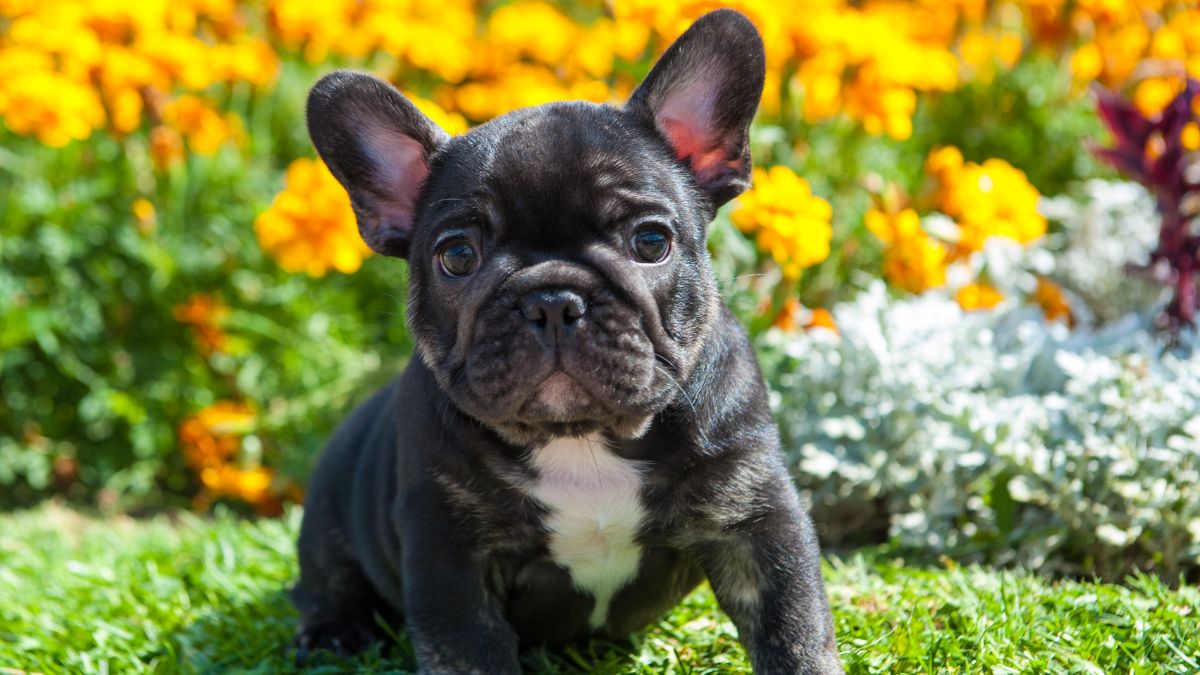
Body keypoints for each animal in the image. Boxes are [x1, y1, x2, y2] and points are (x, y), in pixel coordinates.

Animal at [292, 7, 844, 667]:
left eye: (651, 242)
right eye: (457, 256)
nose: (552, 300)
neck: (579, 438)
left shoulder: (756, 520)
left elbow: (795, 628)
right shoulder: (448, 556)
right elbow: (469, 654)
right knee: (324, 583)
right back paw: (333, 632)